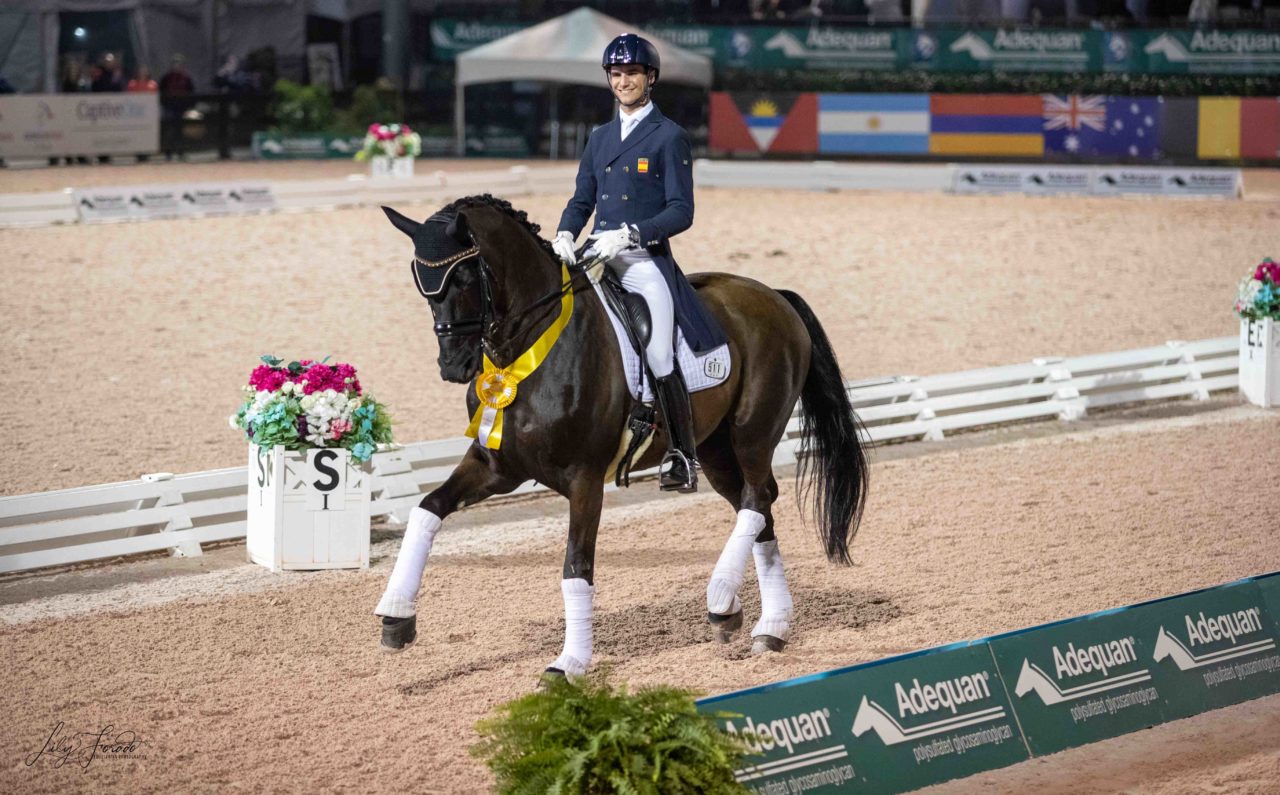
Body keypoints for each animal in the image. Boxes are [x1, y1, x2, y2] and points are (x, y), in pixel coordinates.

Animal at [373, 195, 870, 670]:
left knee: (756, 499)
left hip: (753, 431)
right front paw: (396, 616)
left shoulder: (585, 480)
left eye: (462, 278)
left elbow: (576, 566)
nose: (453, 366)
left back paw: (721, 600)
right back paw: (769, 627)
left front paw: (570, 663)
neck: (532, 347)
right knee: (760, 508)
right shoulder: (497, 466)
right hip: (715, 450)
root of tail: (773, 295)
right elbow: (427, 509)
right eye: (421, 282)